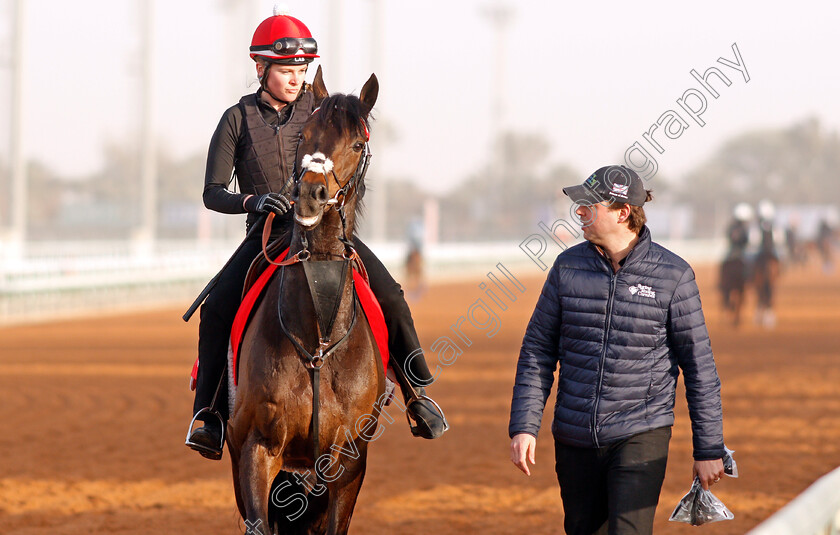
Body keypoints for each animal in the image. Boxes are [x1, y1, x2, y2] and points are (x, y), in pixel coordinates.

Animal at [230, 68, 388, 535]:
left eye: (356, 144)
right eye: (305, 136)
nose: (309, 196)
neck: (317, 338)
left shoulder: (348, 462)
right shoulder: (256, 447)